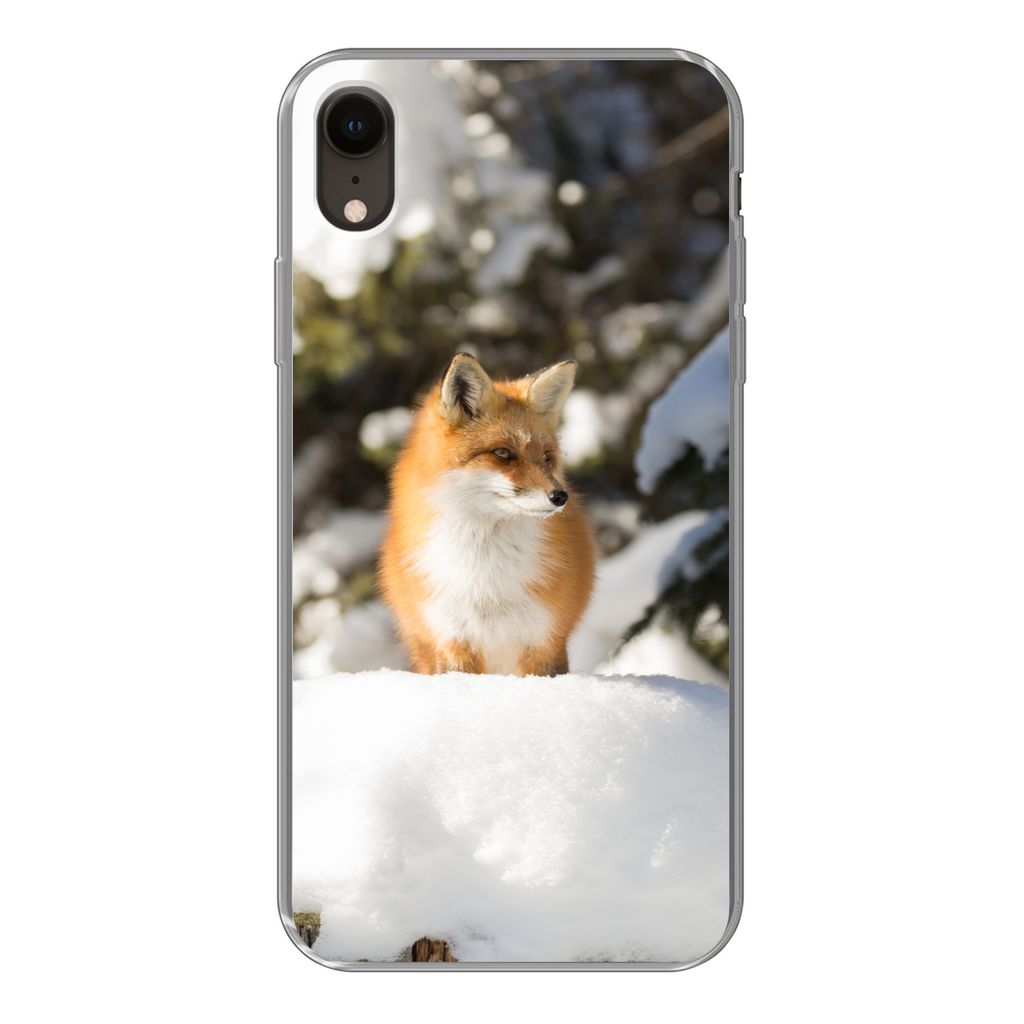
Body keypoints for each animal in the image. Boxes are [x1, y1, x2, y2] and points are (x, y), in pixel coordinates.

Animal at [379, 353, 596, 676]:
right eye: (503, 453)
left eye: (546, 457)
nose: (560, 497)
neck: (486, 580)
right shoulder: (453, 639)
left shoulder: (544, 639)